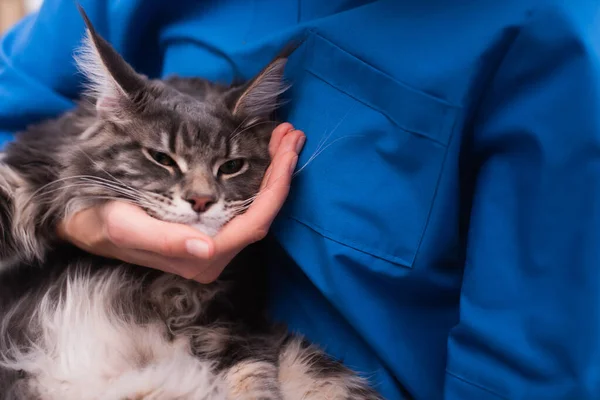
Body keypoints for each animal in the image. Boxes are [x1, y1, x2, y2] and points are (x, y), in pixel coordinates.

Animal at [0, 5, 380, 400]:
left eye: (231, 166)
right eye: (161, 158)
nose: (201, 200)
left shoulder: (238, 317)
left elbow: (253, 378)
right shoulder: (30, 176)